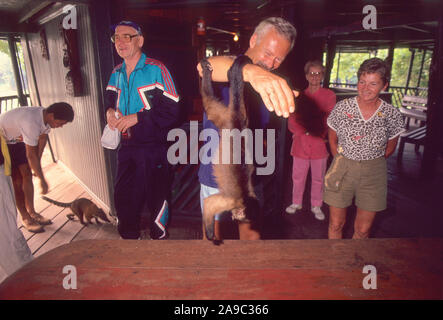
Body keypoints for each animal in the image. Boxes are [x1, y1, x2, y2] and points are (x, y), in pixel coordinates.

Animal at [200, 55, 260, 245]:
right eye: (242, 216)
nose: (237, 217)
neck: (246, 198)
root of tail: (236, 123)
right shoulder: (232, 201)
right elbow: (209, 204)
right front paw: (211, 235)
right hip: (225, 119)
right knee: (209, 104)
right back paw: (206, 76)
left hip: (237, 118)